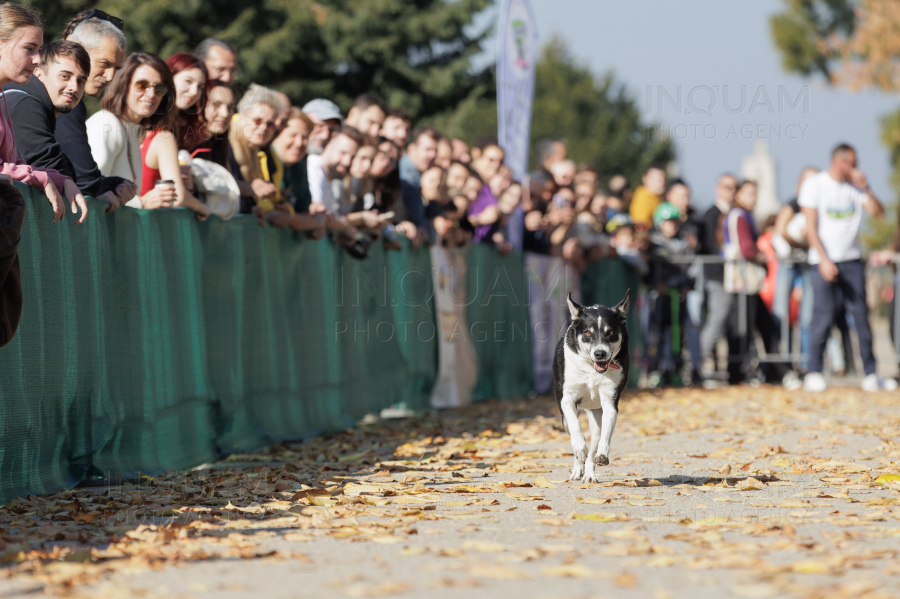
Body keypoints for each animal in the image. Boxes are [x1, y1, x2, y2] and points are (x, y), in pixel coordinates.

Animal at [552, 290, 628, 482]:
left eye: (611, 332)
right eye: (587, 333)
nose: (600, 353)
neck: (592, 369)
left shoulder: (610, 401)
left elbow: (606, 433)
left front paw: (602, 454)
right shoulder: (567, 398)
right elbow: (575, 427)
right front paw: (580, 448)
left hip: (596, 414)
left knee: (595, 439)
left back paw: (589, 474)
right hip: (564, 417)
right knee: (572, 431)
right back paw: (578, 468)